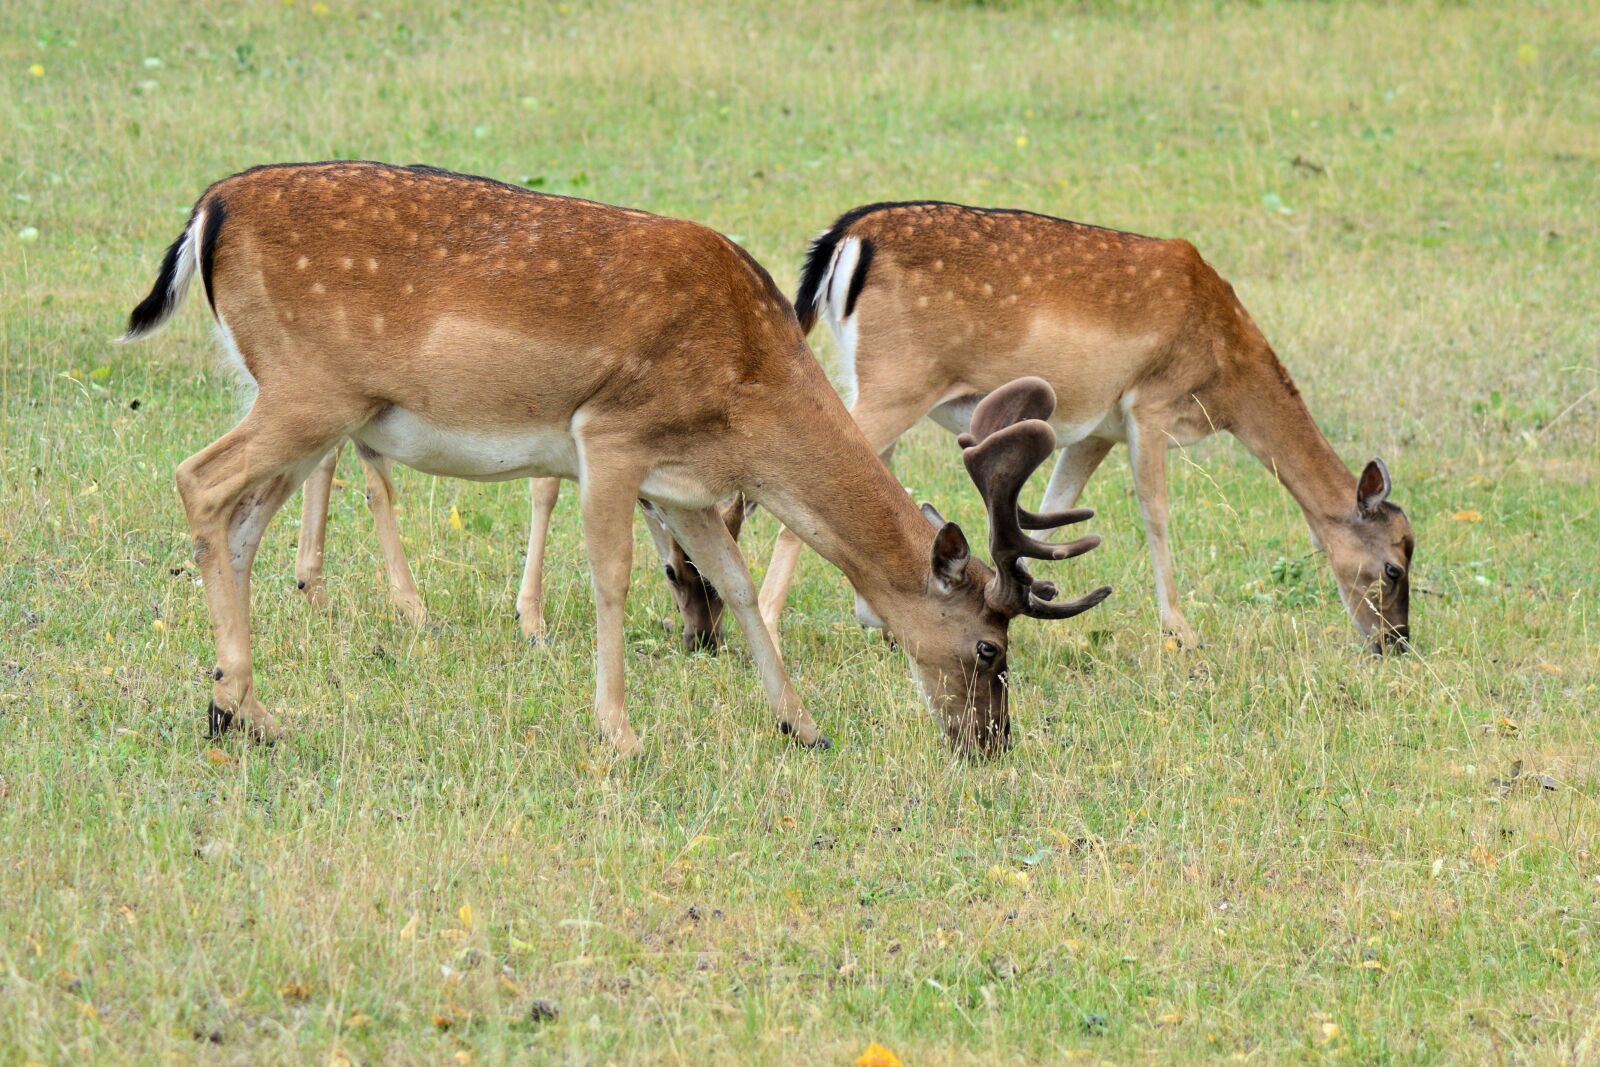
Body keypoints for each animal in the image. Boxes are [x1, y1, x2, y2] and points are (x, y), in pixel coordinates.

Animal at [291, 448, 749, 653]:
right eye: (673, 571)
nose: (706, 637)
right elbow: (545, 485)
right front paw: (531, 619)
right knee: (372, 479)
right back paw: (413, 606)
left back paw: (313, 587)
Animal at [757, 201, 1414, 654]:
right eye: (1394, 565)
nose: (1397, 641)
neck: (1226, 369)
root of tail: (845, 237)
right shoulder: (1149, 404)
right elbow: (1155, 511)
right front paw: (1182, 631)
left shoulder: (1098, 429)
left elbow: (1050, 509)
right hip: (898, 382)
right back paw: (768, 624)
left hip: (869, 382)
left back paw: (877, 620)